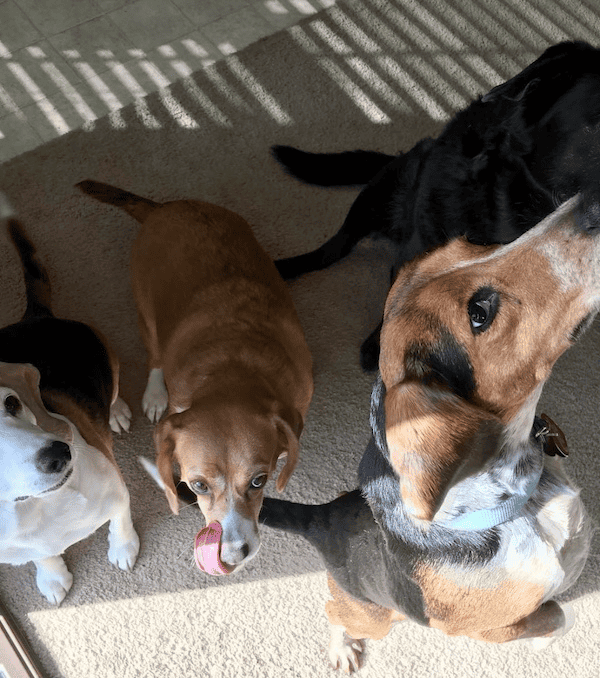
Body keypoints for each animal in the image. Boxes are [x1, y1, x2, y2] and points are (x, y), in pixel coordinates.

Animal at [76, 181, 314, 572]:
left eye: (259, 480)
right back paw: (154, 395)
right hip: (146, 317)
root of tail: (165, 207)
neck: (233, 367)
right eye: (198, 486)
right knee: (155, 355)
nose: (231, 557)